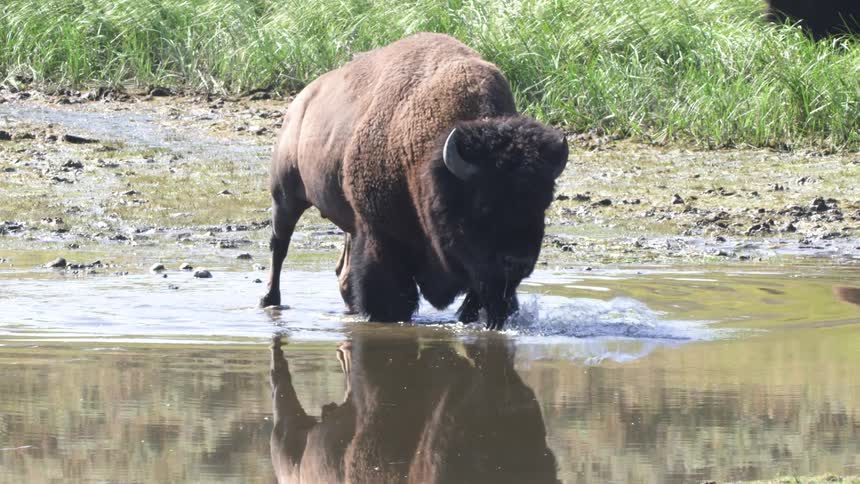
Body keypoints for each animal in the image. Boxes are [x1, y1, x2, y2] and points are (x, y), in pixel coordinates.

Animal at [259, 33, 568, 329]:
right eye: (483, 205)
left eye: (543, 203)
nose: (519, 262)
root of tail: (301, 102)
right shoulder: (380, 236)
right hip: (285, 196)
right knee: (279, 245)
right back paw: (269, 300)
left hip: (344, 219)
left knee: (340, 268)